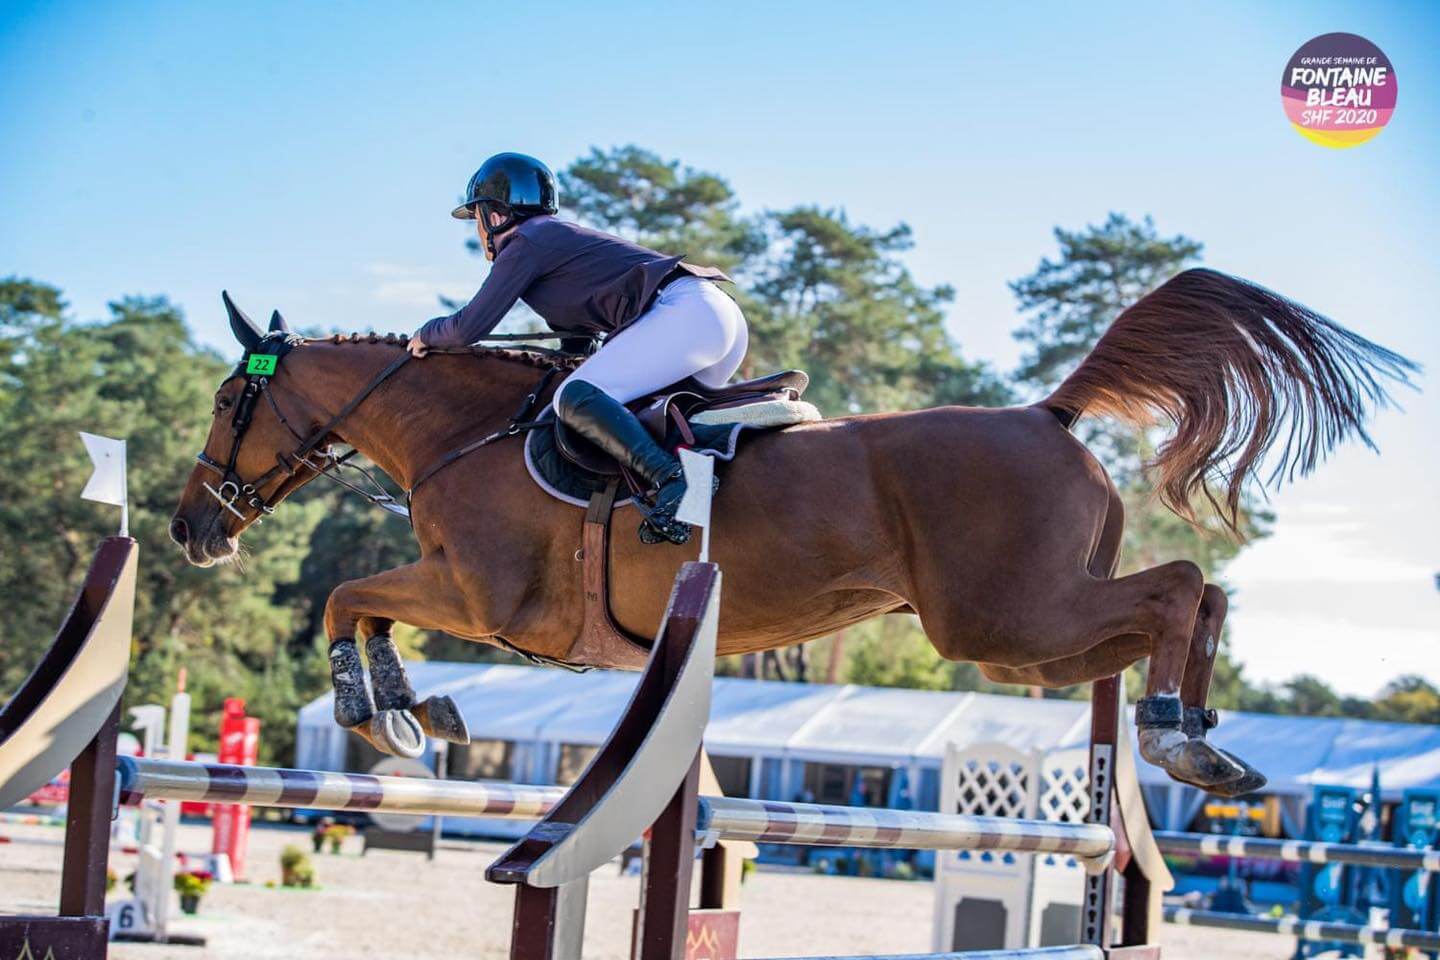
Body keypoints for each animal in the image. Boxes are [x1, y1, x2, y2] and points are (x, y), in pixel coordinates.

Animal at [171, 269, 1416, 794]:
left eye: (229, 401)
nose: (191, 530)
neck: (463, 431)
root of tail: (1045, 412)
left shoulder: (481, 598)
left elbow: (349, 600)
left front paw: (379, 716)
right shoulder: (467, 600)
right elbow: (363, 607)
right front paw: (413, 711)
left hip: (1005, 619)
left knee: (1180, 588)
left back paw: (1174, 736)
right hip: (1028, 640)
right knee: (1192, 595)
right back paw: (1200, 735)